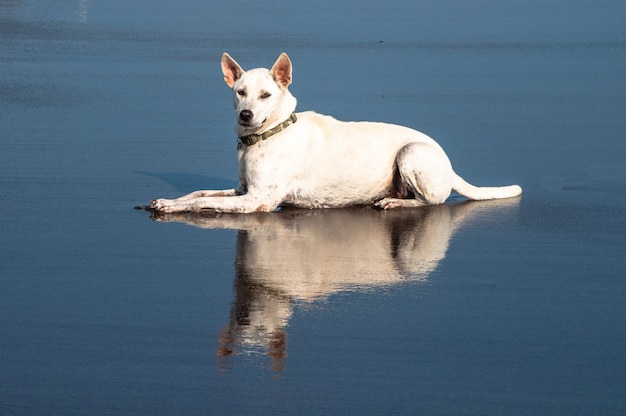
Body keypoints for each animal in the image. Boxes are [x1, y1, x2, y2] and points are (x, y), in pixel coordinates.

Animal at [149, 52, 520, 213]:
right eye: (239, 92)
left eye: (266, 95)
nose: (246, 115)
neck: (268, 135)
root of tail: (450, 167)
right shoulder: (242, 189)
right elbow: (199, 192)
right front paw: (165, 199)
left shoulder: (258, 201)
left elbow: (205, 202)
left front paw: (172, 207)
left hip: (411, 152)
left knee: (432, 202)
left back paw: (393, 202)